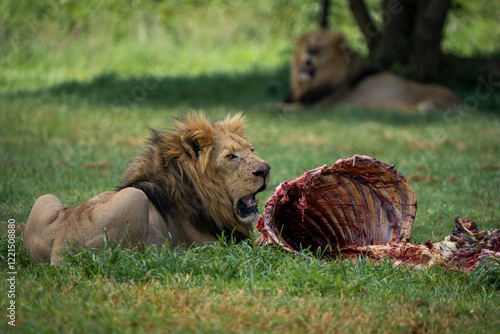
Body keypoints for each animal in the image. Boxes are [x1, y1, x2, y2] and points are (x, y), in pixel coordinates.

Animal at [23, 112, 272, 264]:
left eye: (251, 149)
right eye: (231, 157)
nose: (266, 169)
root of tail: (60, 248)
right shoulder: (214, 246)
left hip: (44, 199)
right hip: (134, 198)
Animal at [286, 30, 460, 111]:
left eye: (321, 47)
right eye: (308, 43)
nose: (310, 50)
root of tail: (459, 102)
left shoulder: (320, 105)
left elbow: (286, 107)